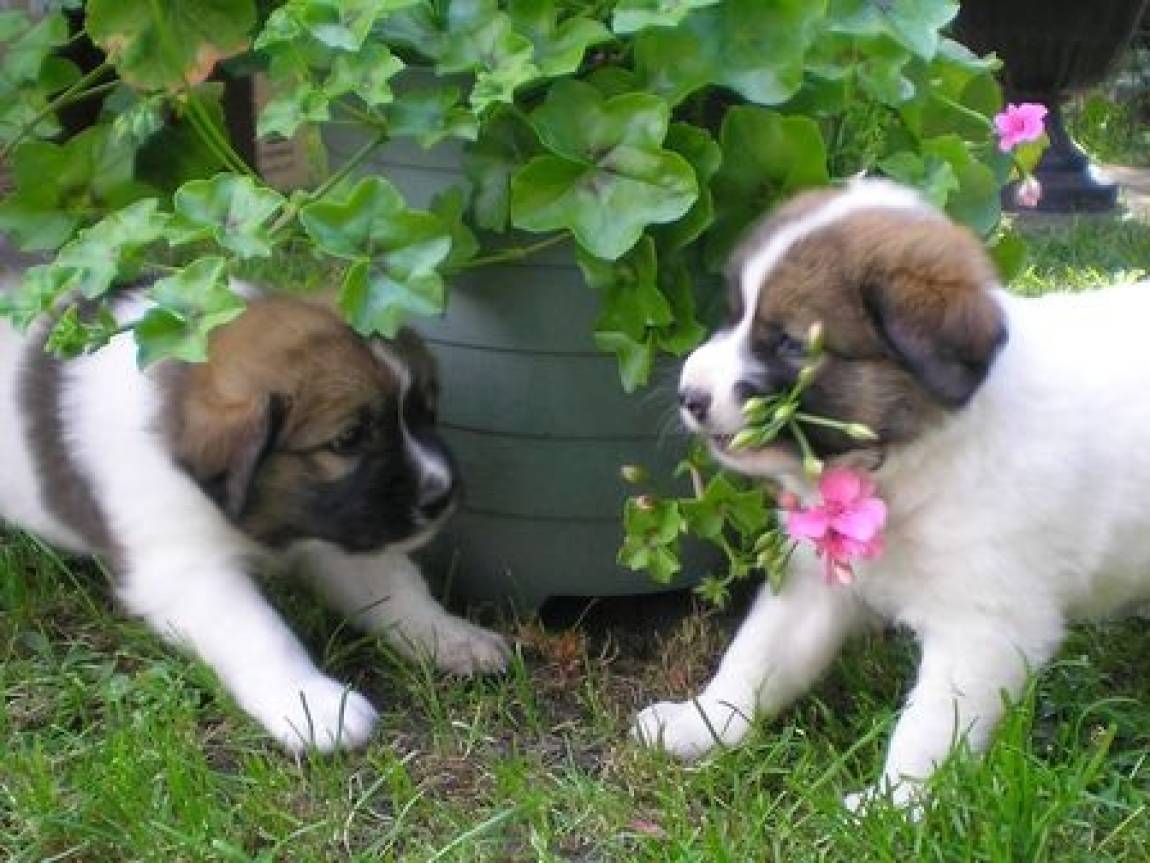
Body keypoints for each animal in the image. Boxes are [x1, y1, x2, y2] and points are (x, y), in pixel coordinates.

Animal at [0, 273, 506, 754]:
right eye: (348, 439)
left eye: (427, 414)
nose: (441, 493)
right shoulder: (186, 566)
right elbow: (260, 632)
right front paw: (314, 705)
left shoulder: (335, 530)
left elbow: (395, 587)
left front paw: (449, 634)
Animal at [634, 180, 1150, 810]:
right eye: (733, 315)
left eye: (789, 343)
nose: (689, 396)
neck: (912, 459)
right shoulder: (813, 586)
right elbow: (755, 658)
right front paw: (701, 724)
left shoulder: (981, 627)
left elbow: (928, 728)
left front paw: (892, 807)